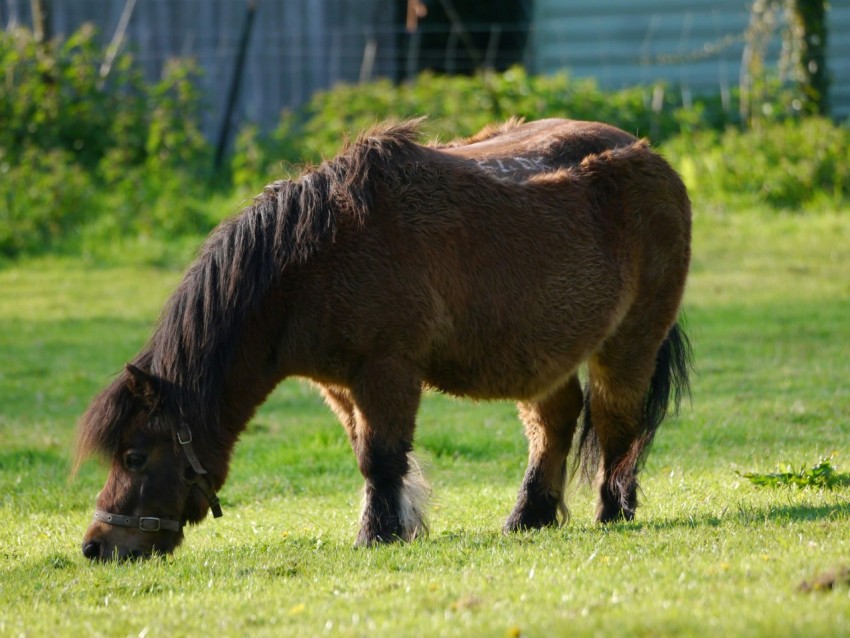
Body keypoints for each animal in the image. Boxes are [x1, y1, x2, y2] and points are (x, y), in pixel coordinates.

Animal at [74, 117, 692, 561]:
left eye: (134, 455)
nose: (96, 546)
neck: (315, 259)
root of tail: (649, 155)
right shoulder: (340, 386)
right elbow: (370, 457)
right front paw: (395, 525)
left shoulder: (386, 370)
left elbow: (381, 457)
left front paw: (378, 534)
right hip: (544, 355)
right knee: (555, 423)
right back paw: (527, 518)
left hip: (630, 342)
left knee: (616, 423)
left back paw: (613, 511)